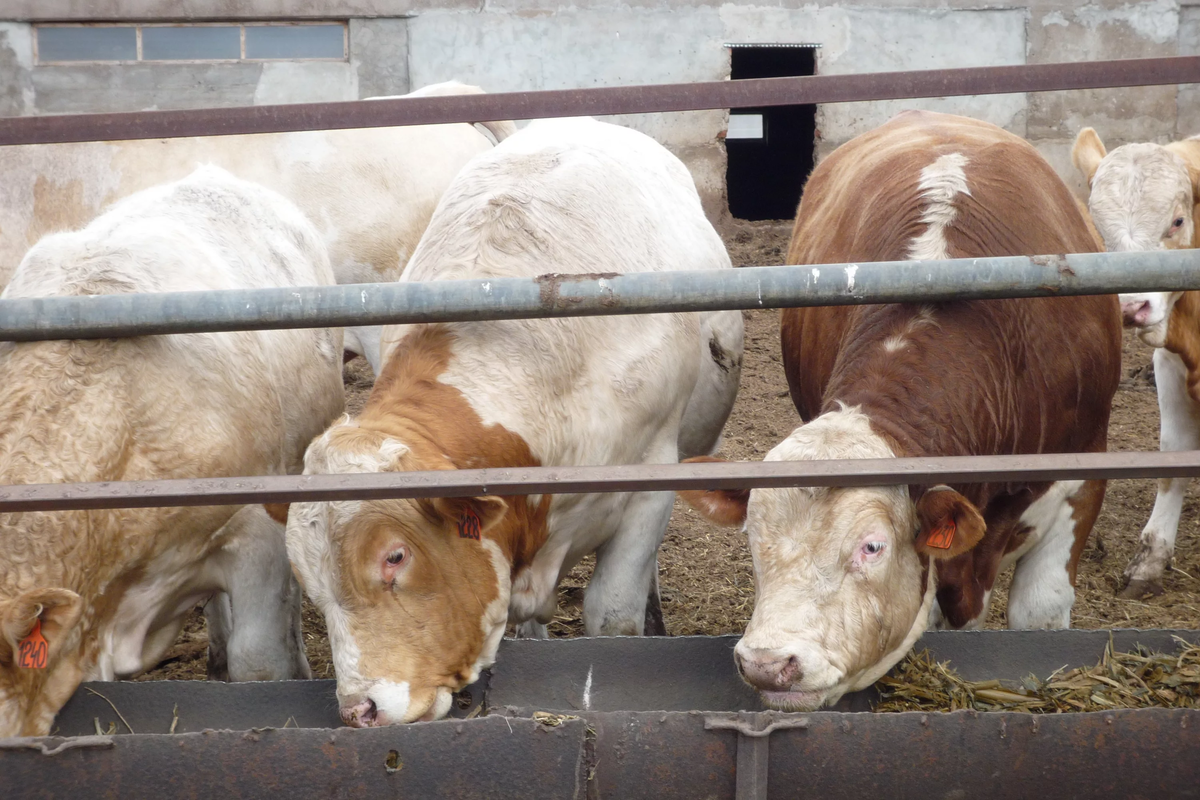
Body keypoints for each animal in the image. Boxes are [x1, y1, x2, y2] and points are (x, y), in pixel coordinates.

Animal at [1075, 128, 1200, 597]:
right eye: (1098, 230)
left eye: (1177, 221)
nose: (1130, 307)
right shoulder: (1169, 364)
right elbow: (1173, 457)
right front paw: (1150, 559)